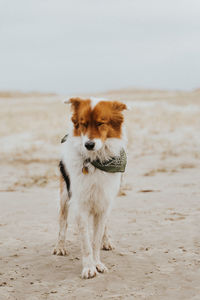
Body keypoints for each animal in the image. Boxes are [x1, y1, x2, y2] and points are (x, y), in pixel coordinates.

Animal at [52, 98, 126, 278]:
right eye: (83, 124)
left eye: (100, 123)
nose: (89, 144)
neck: (96, 160)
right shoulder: (81, 206)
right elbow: (86, 243)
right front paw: (89, 267)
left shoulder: (104, 203)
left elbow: (96, 240)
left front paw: (97, 263)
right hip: (64, 196)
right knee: (62, 222)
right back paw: (60, 246)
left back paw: (107, 241)